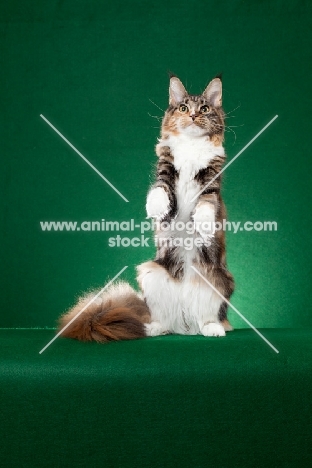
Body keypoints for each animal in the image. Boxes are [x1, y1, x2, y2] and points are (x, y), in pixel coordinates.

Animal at [58, 75, 234, 342]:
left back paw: (212, 329)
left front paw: (203, 223)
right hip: (151, 274)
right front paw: (155, 208)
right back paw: (152, 329)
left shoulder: (212, 181)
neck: (191, 147)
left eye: (204, 109)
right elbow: (160, 188)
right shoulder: (166, 167)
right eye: (184, 108)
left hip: (218, 282)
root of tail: (186, 325)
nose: (194, 115)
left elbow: (206, 203)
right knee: (164, 319)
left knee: (208, 317)